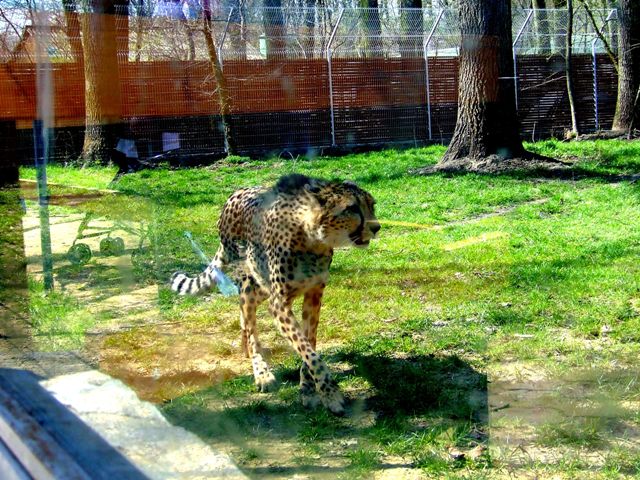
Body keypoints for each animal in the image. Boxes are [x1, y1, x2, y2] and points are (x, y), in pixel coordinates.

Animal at [171, 173, 380, 414]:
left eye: (372, 205)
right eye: (352, 208)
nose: (377, 227)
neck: (313, 240)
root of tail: (236, 193)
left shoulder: (313, 296)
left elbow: (309, 344)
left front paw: (308, 389)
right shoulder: (279, 303)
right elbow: (309, 351)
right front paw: (331, 394)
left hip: (261, 286)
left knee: (244, 317)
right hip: (250, 282)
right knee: (249, 323)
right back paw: (261, 371)